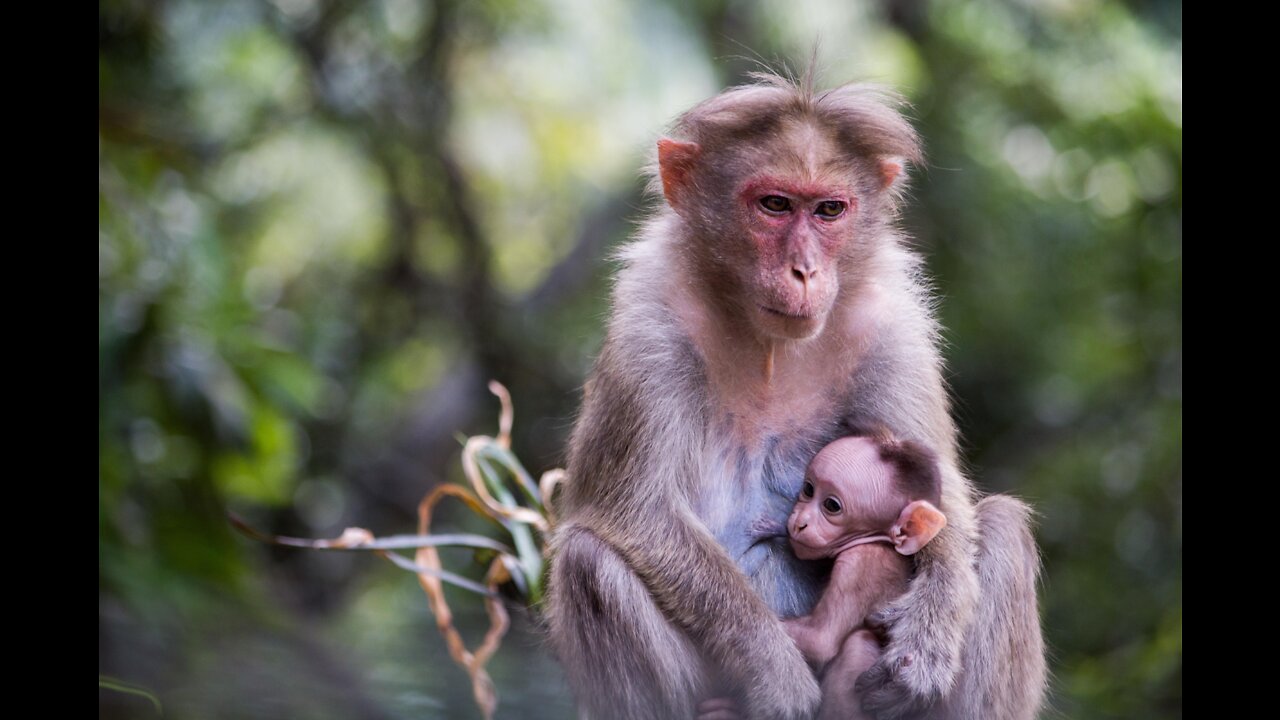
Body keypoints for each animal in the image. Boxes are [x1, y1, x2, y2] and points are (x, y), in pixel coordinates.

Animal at [701, 430, 942, 717]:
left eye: (832, 505)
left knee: (858, 645)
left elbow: (821, 639)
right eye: (808, 489)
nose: (800, 522)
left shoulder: (858, 566)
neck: (878, 541)